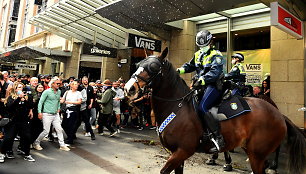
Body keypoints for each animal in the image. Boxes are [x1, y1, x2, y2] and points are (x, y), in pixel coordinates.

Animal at [125, 47, 306, 173]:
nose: (129, 89)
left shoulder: (183, 151)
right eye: (138, 65)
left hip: (257, 155)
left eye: (154, 67)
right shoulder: (176, 154)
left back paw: (273, 166)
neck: (178, 107)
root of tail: (279, 114)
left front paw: (224, 162)